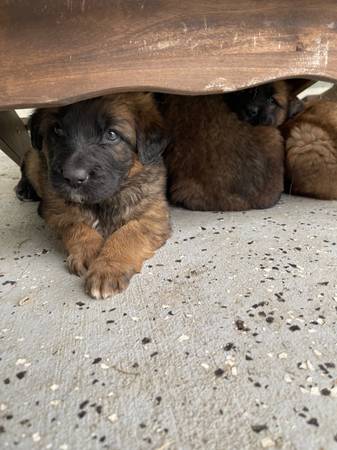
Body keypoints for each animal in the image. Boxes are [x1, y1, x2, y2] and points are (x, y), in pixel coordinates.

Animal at [16, 92, 171, 298]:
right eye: (57, 130)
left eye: (111, 134)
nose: (73, 177)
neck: (104, 201)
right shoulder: (56, 210)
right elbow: (76, 225)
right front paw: (90, 252)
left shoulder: (153, 215)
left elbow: (128, 233)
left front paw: (107, 269)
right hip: (36, 159)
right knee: (26, 162)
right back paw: (24, 188)